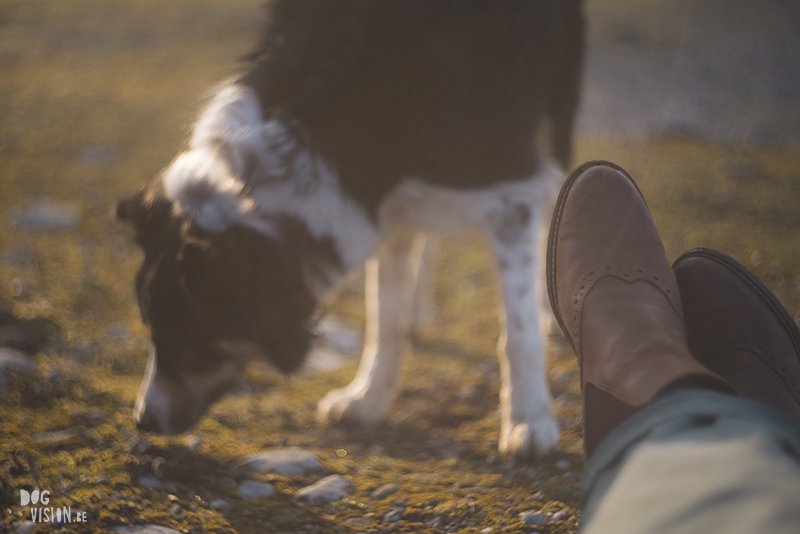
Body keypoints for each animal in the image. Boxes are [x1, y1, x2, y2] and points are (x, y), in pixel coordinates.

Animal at [117, 0, 580, 460]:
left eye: (187, 337)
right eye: (150, 327)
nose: (142, 420)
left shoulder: (511, 191)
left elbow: (518, 333)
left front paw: (529, 420)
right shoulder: (384, 208)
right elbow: (384, 318)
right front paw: (368, 399)